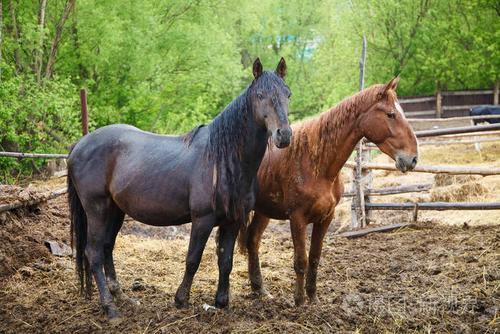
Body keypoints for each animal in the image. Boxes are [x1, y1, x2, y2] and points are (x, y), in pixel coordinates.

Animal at [68, 58, 292, 320]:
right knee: (93, 253)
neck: (223, 160)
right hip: (97, 209)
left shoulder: (233, 221)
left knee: (106, 247)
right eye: (260, 95)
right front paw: (181, 299)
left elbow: (225, 261)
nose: (284, 135)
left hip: (115, 210)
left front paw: (221, 302)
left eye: (288, 94)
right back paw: (110, 309)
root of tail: (79, 145)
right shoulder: (203, 219)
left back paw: (122, 298)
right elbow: (193, 259)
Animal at [239, 77, 418, 306]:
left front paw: (313, 298)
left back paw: (259, 290)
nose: (413, 158)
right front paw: (299, 301)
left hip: (264, 210)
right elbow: (301, 260)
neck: (316, 161)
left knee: (252, 240)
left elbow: (315, 257)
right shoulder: (297, 218)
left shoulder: (326, 217)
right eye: (390, 114)